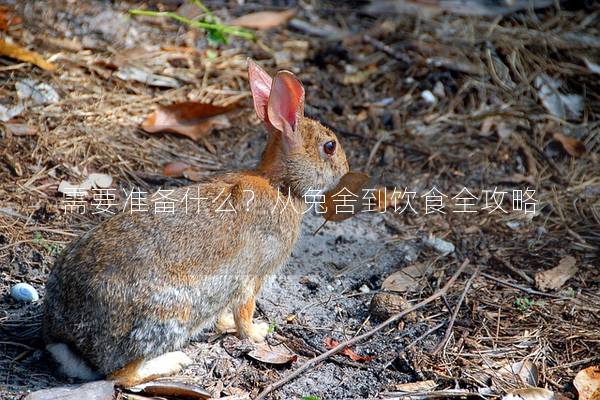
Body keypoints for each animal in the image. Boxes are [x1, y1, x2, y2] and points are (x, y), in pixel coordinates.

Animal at [42, 59, 350, 388]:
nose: (346, 168)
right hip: (169, 315)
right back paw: (173, 362)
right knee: (121, 375)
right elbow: (245, 311)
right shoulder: (252, 277)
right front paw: (258, 334)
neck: (282, 185)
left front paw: (225, 325)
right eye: (329, 147)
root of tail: (70, 341)